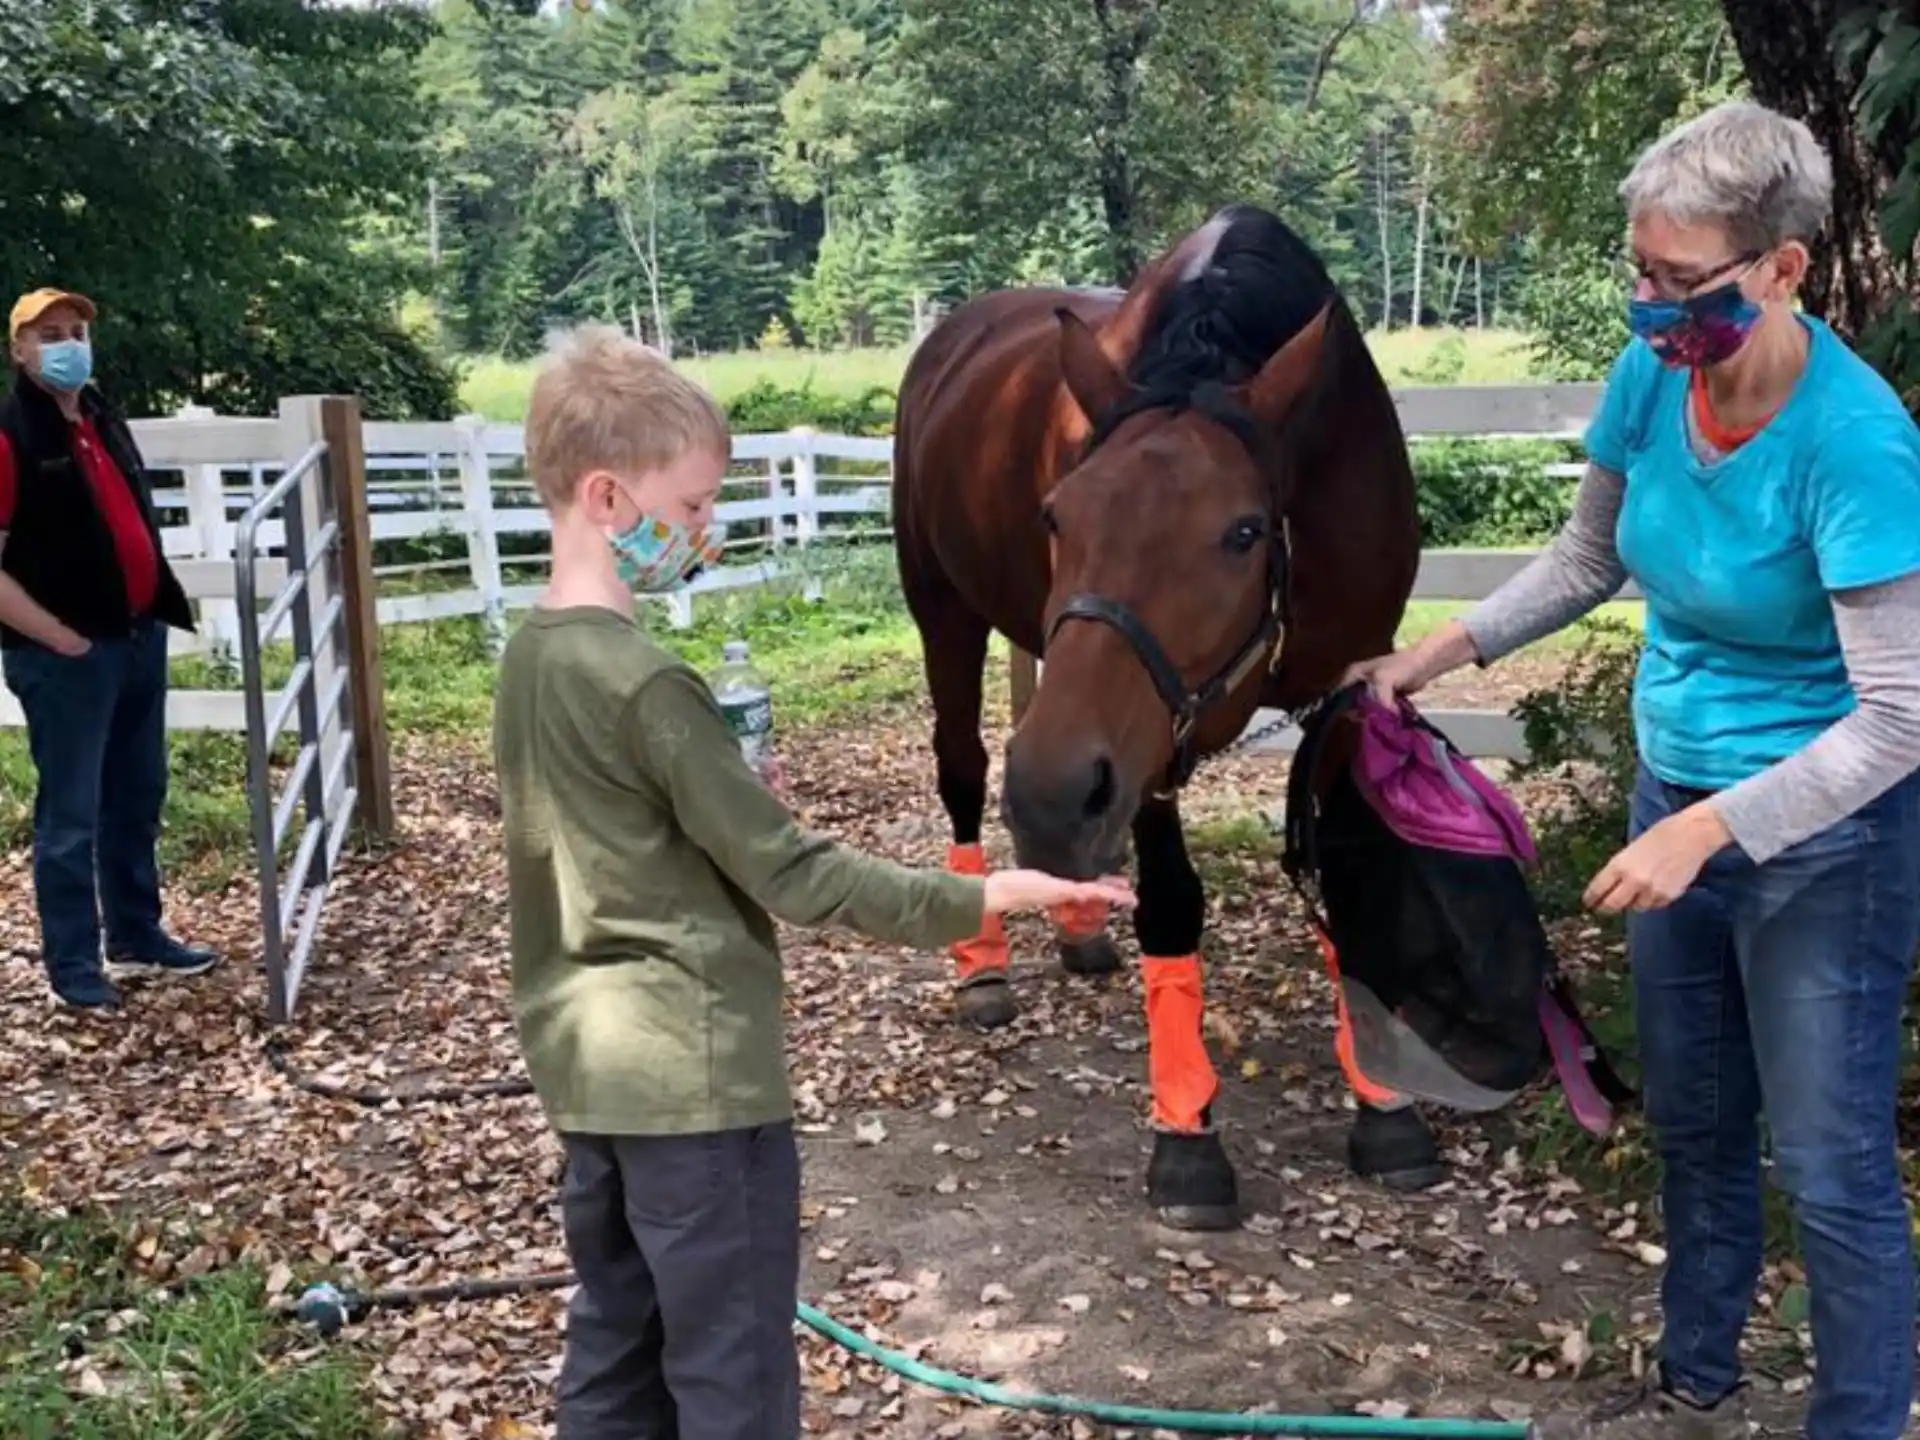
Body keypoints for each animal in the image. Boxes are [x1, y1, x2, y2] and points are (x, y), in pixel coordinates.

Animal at [891, 203, 1429, 1231]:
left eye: (1244, 531)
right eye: (1057, 516)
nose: (1053, 793)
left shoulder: (1346, 683)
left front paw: (1387, 1111)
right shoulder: (1146, 745)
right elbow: (1174, 908)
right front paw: (1188, 1137)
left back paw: (1076, 921)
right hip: (947, 612)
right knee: (963, 768)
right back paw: (983, 964)